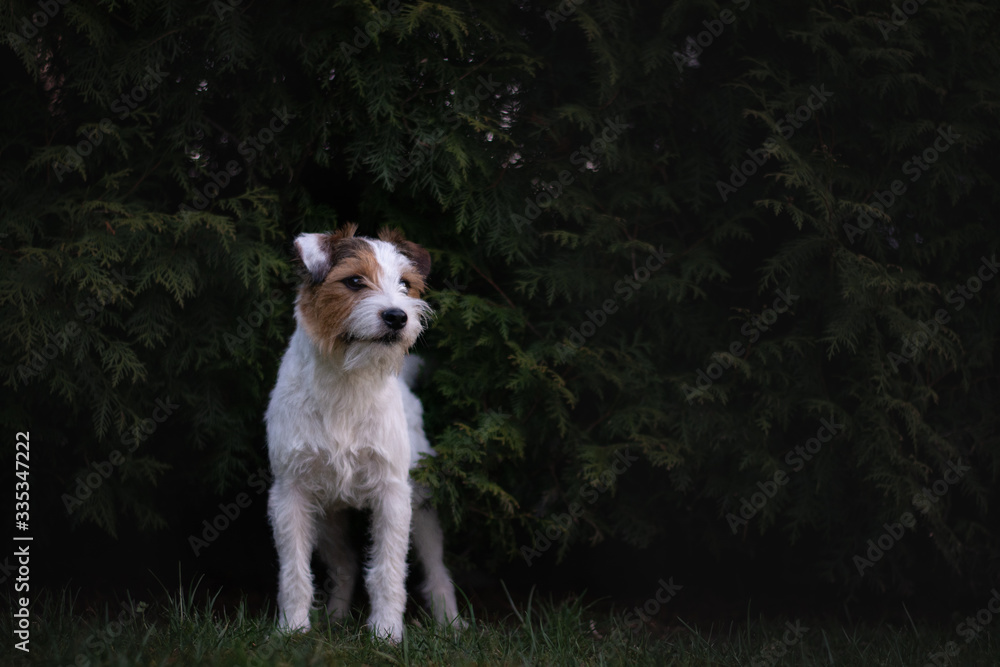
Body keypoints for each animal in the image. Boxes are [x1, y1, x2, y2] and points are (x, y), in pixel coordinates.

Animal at [268, 224, 466, 640]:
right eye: (355, 281)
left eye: (405, 284)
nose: (397, 317)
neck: (348, 380)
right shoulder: (291, 493)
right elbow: (294, 572)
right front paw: (291, 631)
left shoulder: (392, 494)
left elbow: (388, 571)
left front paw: (386, 634)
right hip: (326, 517)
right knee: (344, 564)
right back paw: (335, 619)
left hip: (422, 504)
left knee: (437, 570)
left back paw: (451, 624)